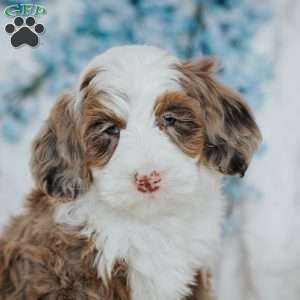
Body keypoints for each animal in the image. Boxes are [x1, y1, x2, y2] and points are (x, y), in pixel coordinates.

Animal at [0, 45, 262, 300]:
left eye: (169, 118)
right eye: (110, 129)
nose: (148, 179)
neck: (150, 221)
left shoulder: (194, 274)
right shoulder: (71, 274)